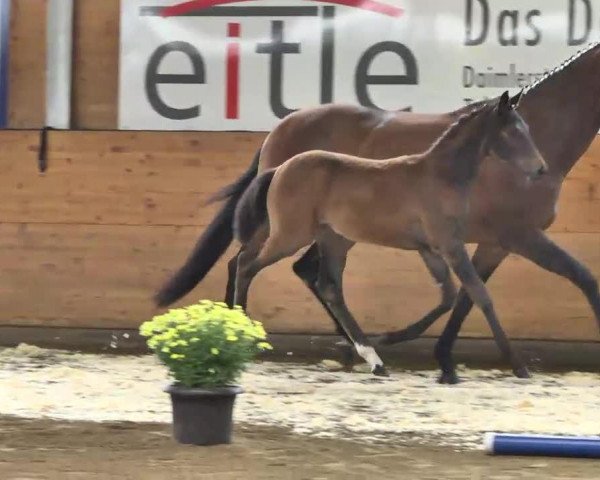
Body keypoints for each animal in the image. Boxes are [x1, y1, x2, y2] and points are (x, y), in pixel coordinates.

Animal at [232, 91, 548, 376]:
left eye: (526, 128)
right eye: (513, 131)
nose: (541, 169)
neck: (440, 175)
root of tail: (279, 169)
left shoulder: (429, 248)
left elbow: (448, 296)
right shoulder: (449, 244)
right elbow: (480, 294)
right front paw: (518, 366)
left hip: (333, 239)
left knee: (329, 288)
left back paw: (373, 359)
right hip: (290, 235)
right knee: (246, 265)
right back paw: (241, 334)